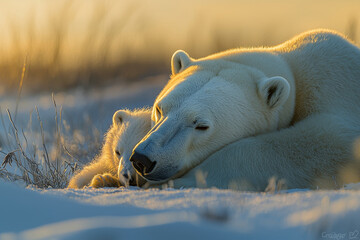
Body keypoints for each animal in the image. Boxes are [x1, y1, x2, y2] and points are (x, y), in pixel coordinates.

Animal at [131, 29, 360, 191]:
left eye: (201, 126)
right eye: (160, 109)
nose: (142, 160)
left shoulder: (336, 92)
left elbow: (330, 139)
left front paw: (184, 180)